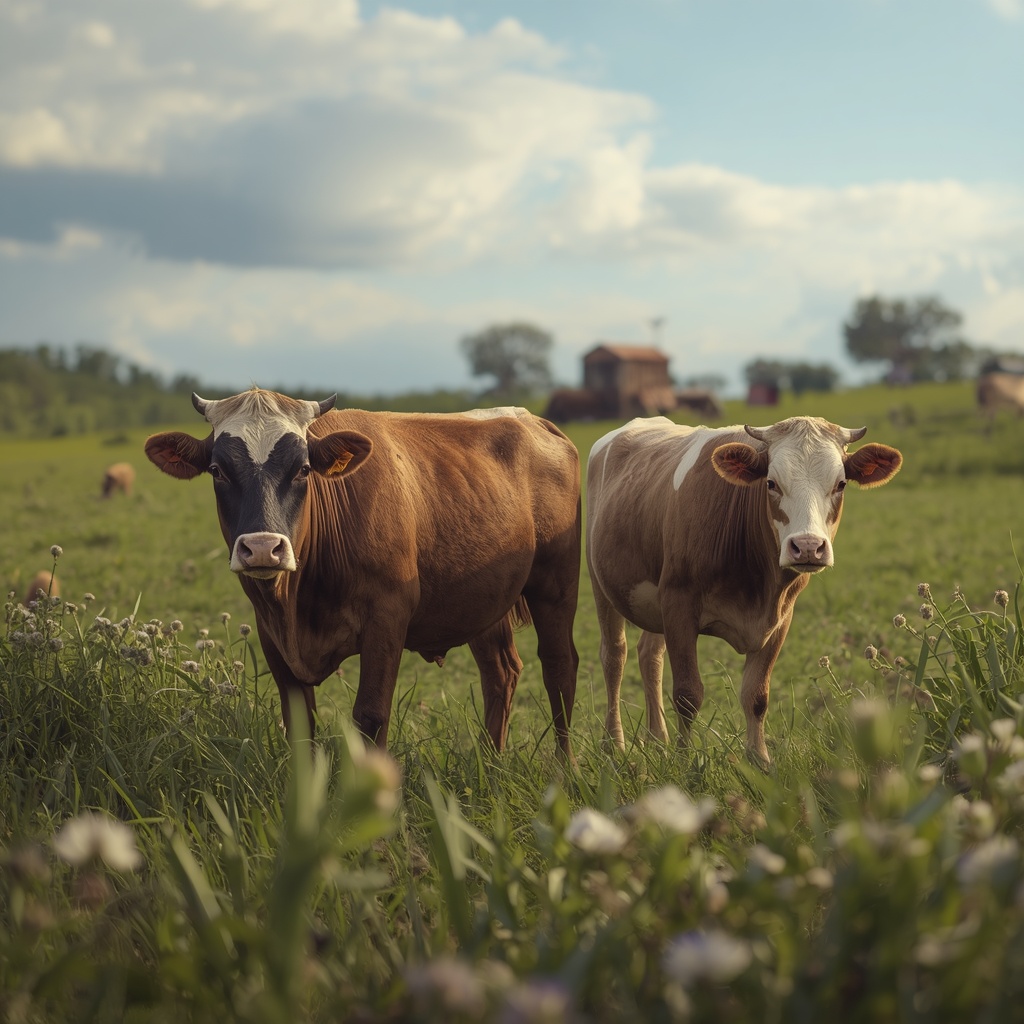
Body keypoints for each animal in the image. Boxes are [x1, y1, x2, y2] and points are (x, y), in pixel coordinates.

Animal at [144, 388, 581, 755]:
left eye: (303, 469)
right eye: (218, 470)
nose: (263, 548)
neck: (297, 600)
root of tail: (531, 419)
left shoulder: (387, 620)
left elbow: (370, 717)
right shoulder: (271, 633)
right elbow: (299, 726)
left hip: (556, 585)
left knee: (559, 667)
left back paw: (563, 772)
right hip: (482, 601)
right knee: (500, 673)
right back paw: (489, 765)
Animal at [586, 416, 902, 765]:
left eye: (841, 484)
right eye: (771, 483)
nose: (807, 546)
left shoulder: (780, 618)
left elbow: (756, 695)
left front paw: (759, 760)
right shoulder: (678, 603)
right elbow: (687, 693)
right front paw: (684, 761)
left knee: (649, 656)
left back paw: (657, 740)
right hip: (601, 583)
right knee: (614, 657)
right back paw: (613, 744)